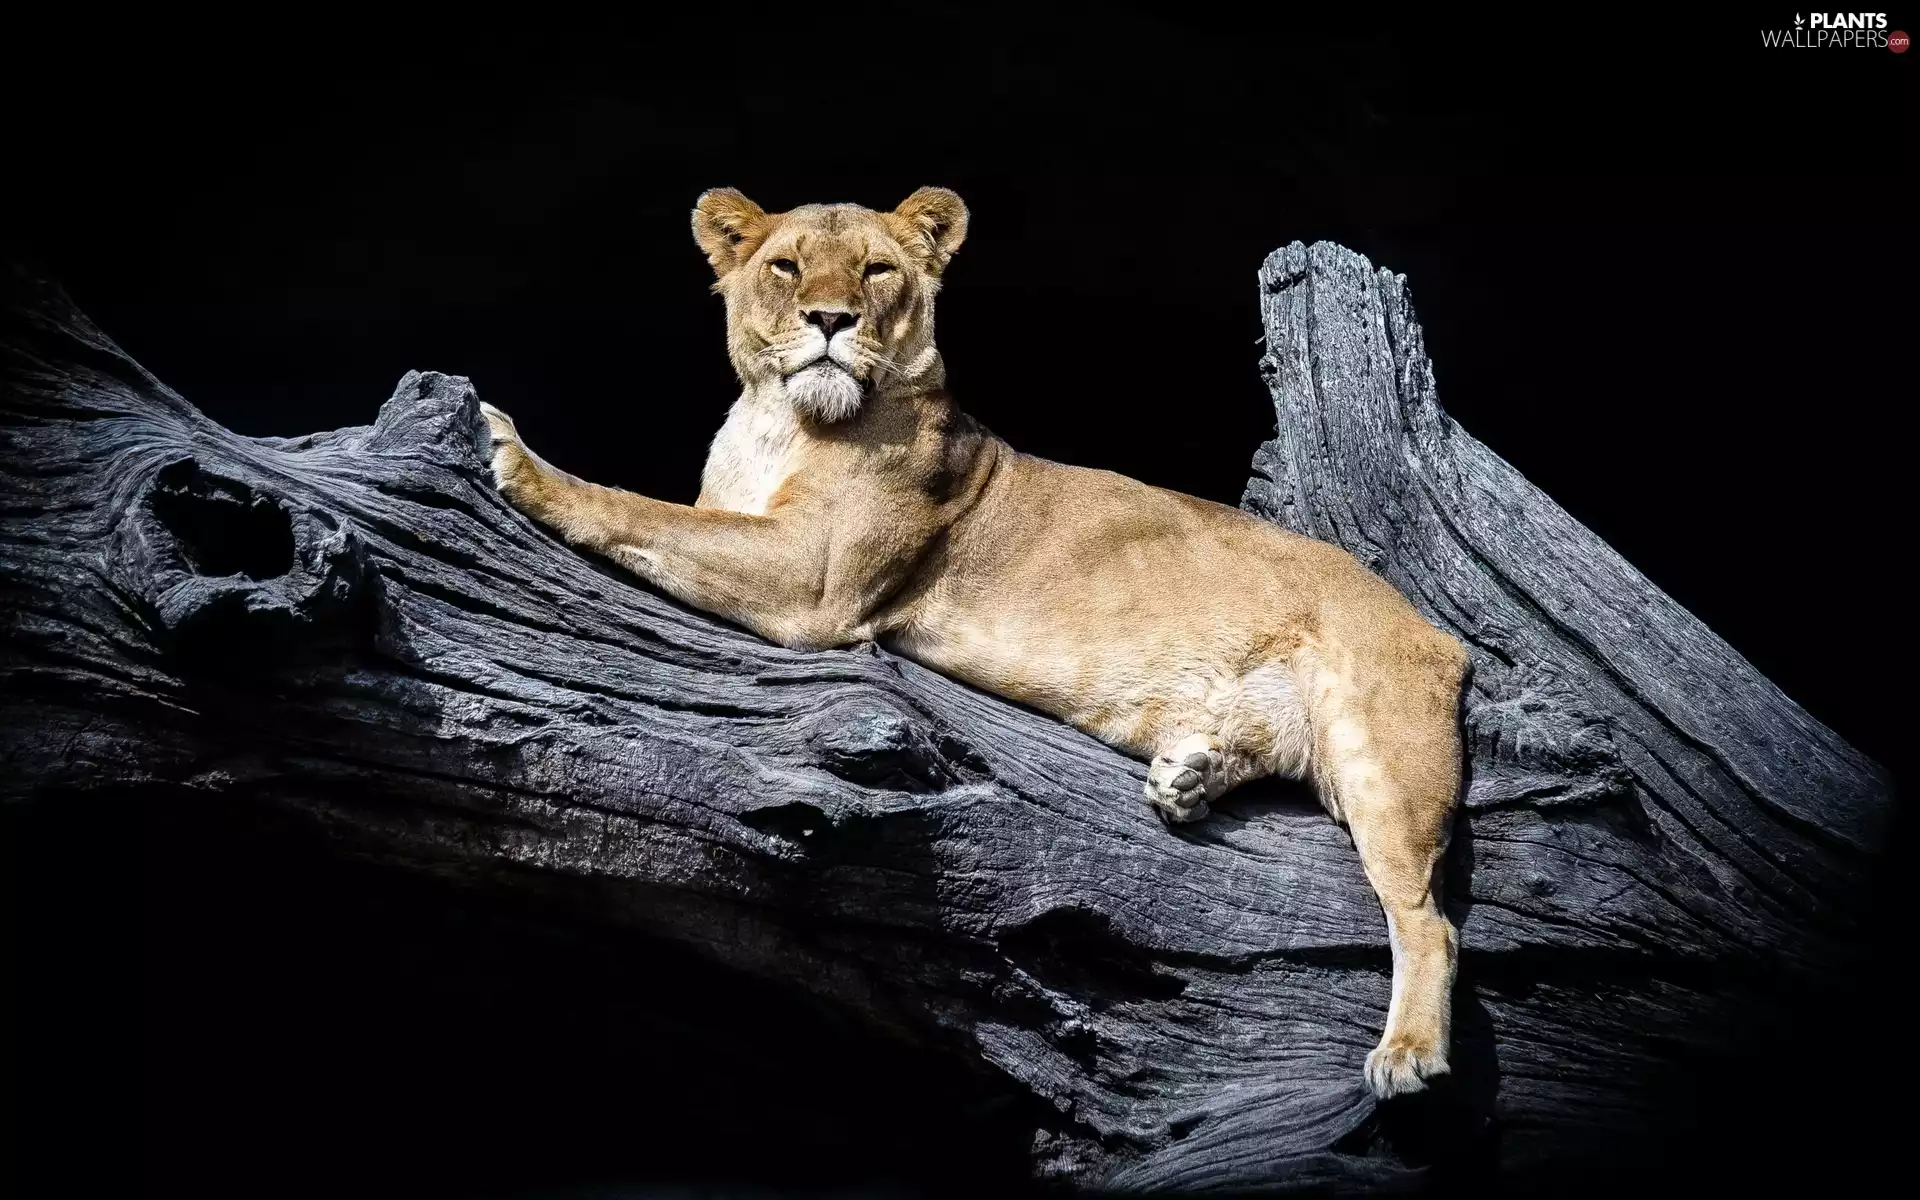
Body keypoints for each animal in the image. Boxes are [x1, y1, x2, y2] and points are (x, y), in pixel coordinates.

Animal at [480, 187, 1470, 1099]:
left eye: (877, 270)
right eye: (788, 267)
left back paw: (1409, 1054)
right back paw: (1191, 775)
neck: (776, 425)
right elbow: (675, 516)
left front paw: (522, 462)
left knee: (1430, 921)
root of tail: (1435, 631)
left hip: (1384, 758)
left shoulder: (815, 579)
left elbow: (644, 509)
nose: (830, 321)